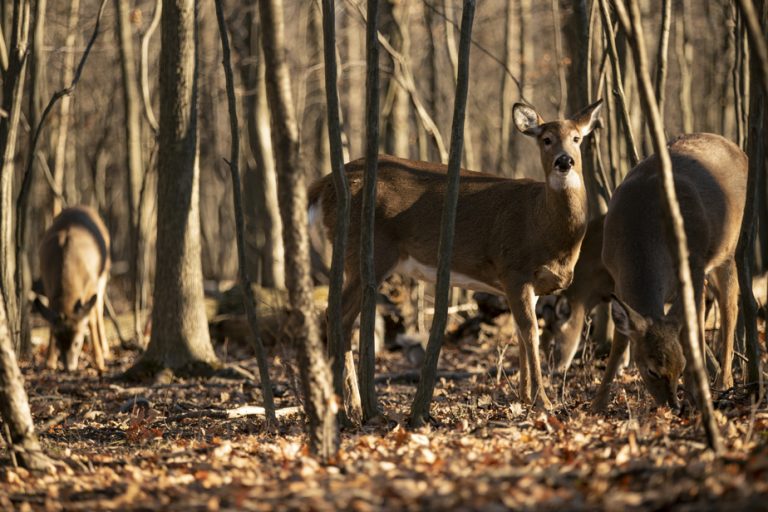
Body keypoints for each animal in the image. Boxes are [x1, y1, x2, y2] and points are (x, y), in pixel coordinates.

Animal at [34, 205, 111, 372]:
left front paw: (99, 361)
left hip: (104, 274)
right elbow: (51, 320)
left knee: (99, 308)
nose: (69, 367)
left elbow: (91, 319)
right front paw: (49, 362)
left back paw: (106, 350)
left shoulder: (91, 285)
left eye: (77, 342)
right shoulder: (47, 284)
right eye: (58, 341)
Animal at [308, 99, 604, 408]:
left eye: (577, 138)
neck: (542, 225)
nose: (564, 161)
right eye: (546, 139)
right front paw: (543, 400)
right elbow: (530, 332)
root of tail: (323, 186)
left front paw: (524, 396)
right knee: (338, 315)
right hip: (368, 251)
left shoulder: (530, 284)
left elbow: (520, 334)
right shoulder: (513, 269)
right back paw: (350, 403)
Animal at [592, 133, 748, 412]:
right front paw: (597, 404)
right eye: (651, 370)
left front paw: (696, 396)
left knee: (729, 310)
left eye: (681, 367)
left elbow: (691, 330)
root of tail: (738, 149)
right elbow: (620, 341)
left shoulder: (694, 265)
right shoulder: (615, 276)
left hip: (728, 251)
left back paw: (724, 383)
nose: (672, 406)